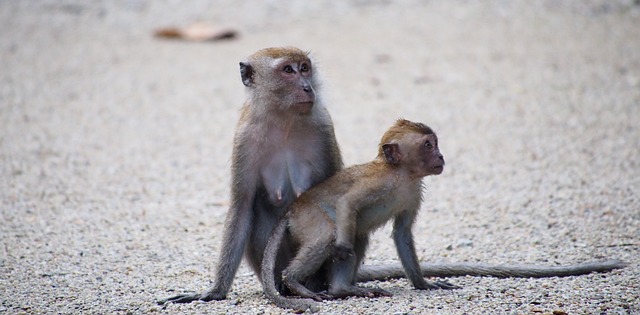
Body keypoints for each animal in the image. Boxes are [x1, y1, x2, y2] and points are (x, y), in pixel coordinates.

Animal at [159, 45, 342, 304]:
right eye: (288, 70)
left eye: (305, 68)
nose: (307, 86)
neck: (284, 121)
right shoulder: (244, 139)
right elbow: (242, 206)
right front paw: (215, 291)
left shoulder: (324, 127)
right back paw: (280, 285)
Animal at [262, 119, 458, 312]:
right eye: (428, 145)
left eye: (435, 143)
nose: (440, 156)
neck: (402, 174)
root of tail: (291, 210)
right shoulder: (378, 181)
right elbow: (347, 203)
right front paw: (343, 248)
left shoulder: (414, 194)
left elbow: (402, 233)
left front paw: (423, 284)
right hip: (307, 217)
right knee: (328, 235)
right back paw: (294, 280)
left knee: (358, 236)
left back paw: (342, 289)